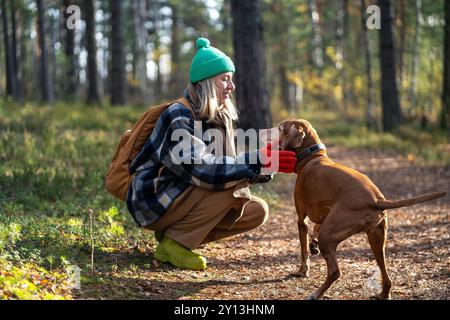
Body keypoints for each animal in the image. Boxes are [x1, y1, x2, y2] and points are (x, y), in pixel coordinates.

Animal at [280, 119, 444, 300]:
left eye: (280, 128)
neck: (312, 156)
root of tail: (377, 200)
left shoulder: (301, 218)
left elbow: (303, 249)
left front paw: (303, 270)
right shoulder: (324, 214)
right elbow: (316, 228)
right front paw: (312, 244)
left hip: (330, 235)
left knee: (335, 272)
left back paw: (316, 294)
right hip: (376, 239)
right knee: (385, 273)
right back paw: (383, 294)